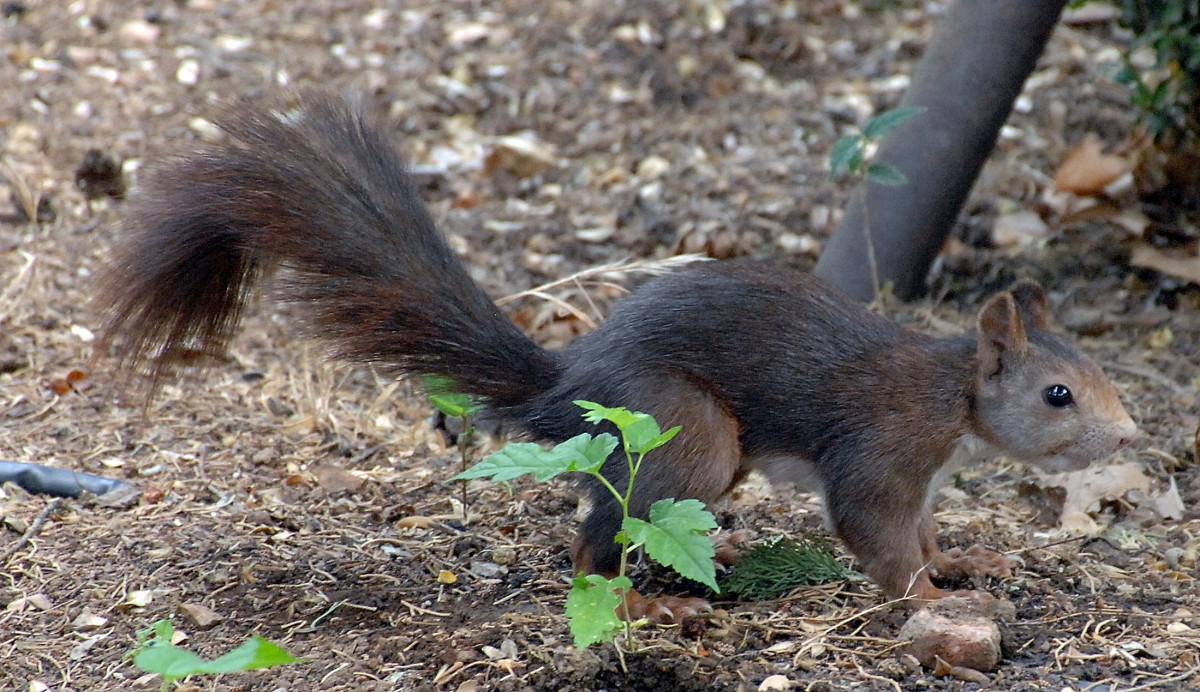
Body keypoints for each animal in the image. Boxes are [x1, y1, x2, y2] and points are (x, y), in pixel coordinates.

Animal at [98, 92, 1137, 618]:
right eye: (1058, 394)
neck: (952, 401)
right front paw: (929, 599)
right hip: (686, 432)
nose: (1131, 437)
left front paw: (963, 564)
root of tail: (568, 389)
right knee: (593, 541)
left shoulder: (924, 479)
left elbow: (922, 531)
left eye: (1100, 373)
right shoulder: (882, 450)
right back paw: (643, 606)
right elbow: (877, 537)